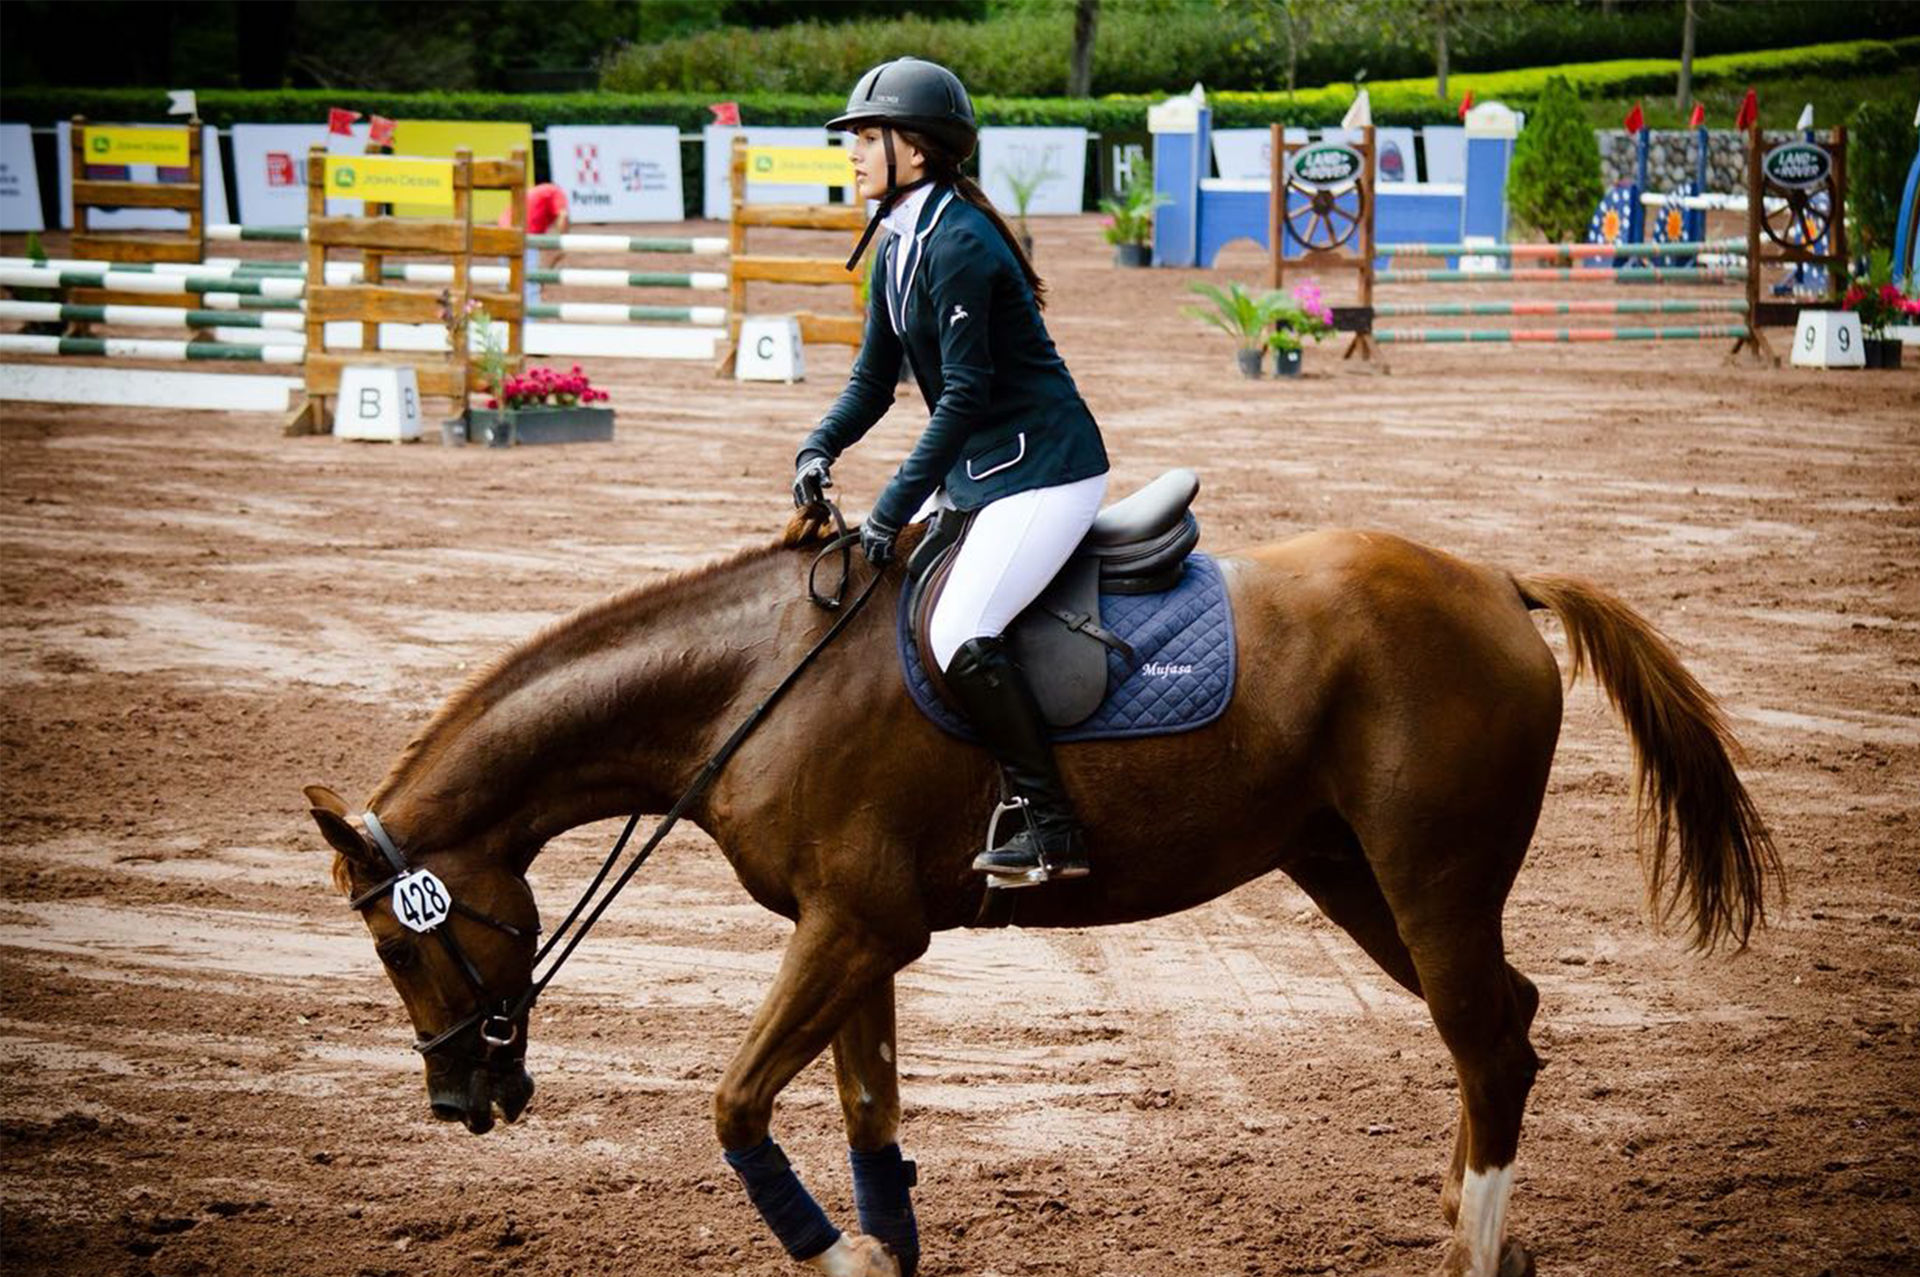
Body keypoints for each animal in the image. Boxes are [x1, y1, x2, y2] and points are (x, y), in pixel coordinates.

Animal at [311, 514, 1766, 1275]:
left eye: (393, 944)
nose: (459, 1100)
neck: (751, 680)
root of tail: (1500, 583)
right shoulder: (856, 940)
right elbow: (870, 1119)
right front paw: (882, 1249)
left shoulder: (857, 929)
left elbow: (735, 1107)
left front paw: (837, 1254)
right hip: (1358, 876)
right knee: (1500, 1028)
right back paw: (1485, 1235)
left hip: (1431, 879)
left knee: (1488, 1041)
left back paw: (1471, 1252)